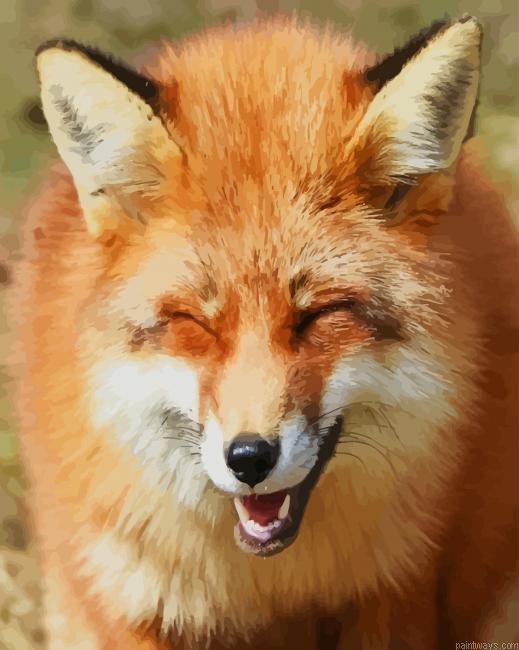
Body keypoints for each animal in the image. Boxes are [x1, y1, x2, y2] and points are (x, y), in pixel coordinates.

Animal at [10, 14, 518, 650]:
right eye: (194, 323)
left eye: (319, 315)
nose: (249, 459)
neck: (267, 590)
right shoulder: (129, 602)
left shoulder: (397, 591)